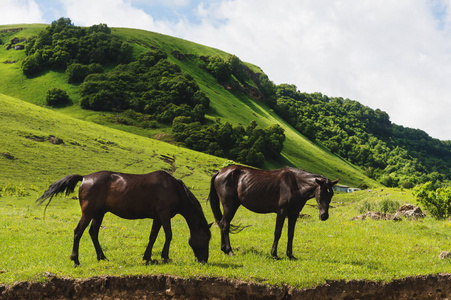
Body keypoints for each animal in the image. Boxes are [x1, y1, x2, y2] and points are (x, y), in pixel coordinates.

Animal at [36, 170, 211, 266]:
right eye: (207, 238)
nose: (204, 260)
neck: (174, 189)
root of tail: (85, 178)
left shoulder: (157, 217)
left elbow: (153, 236)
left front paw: (148, 257)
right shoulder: (164, 214)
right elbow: (168, 235)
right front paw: (165, 257)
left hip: (99, 213)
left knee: (93, 233)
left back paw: (102, 257)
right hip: (89, 213)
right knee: (78, 232)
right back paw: (76, 260)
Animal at [208, 164, 340, 260]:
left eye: (331, 194)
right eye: (321, 193)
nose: (324, 216)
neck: (295, 184)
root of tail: (220, 172)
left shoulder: (293, 214)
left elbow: (290, 234)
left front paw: (290, 255)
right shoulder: (281, 212)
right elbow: (278, 232)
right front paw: (274, 254)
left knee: (222, 223)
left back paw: (224, 249)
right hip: (230, 206)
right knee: (225, 225)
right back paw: (230, 251)